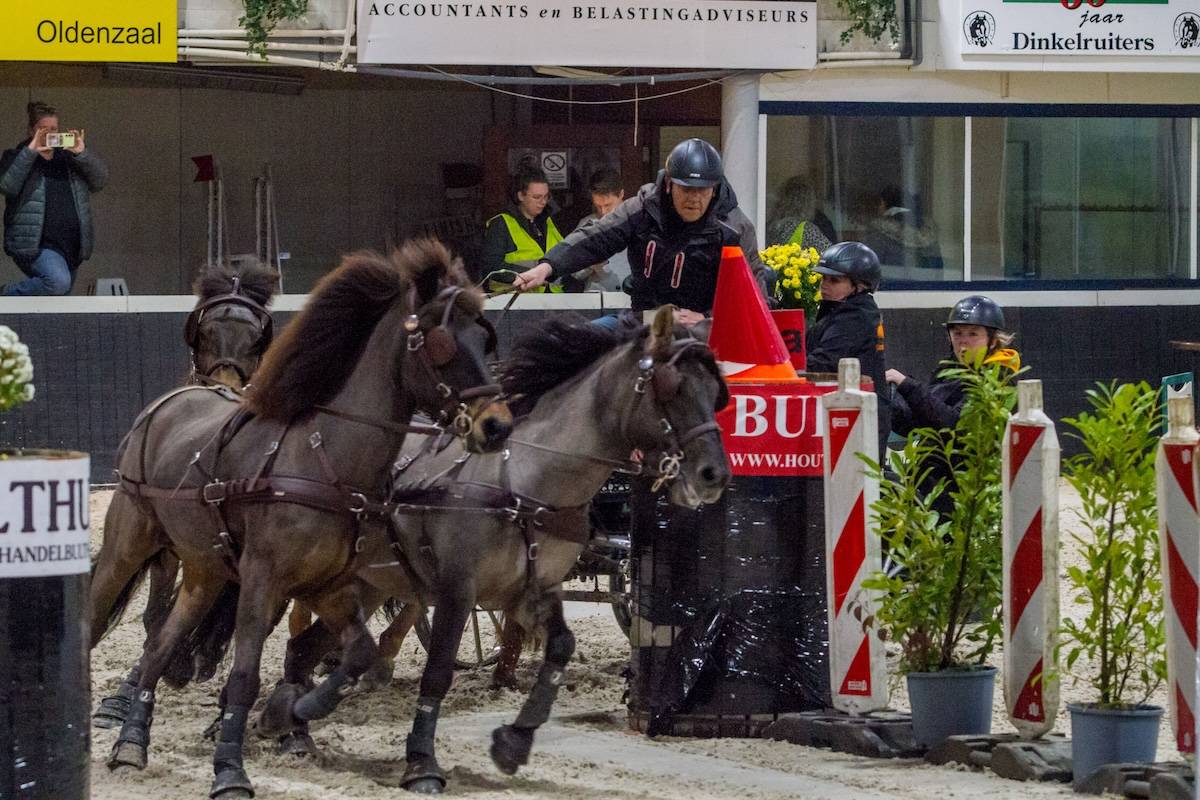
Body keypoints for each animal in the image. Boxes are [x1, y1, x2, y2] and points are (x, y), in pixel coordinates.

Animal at [87, 239, 511, 800]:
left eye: (484, 339)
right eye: (442, 344)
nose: (498, 425)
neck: (324, 458)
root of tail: (167, 404)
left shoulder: (329, 585)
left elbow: (353, 653)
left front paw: (294, 712)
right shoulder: (263, 578)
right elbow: (245, 674)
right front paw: (231, 769)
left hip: (205, 567)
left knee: (161, 642)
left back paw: (132, 743)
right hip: (130, 545)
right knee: (96, 620)